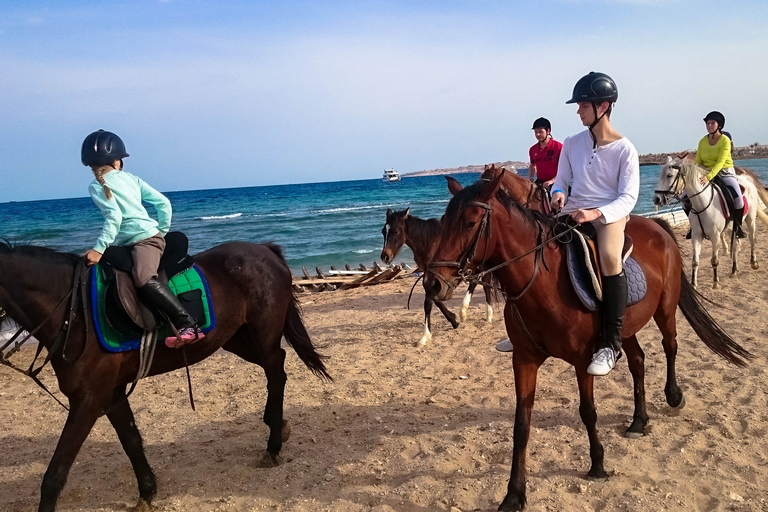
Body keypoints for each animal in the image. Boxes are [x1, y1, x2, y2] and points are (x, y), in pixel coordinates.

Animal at [0, 242, 330, 512]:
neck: (74, 312)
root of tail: (264, 249)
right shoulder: (112, 393)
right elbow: (131, 441)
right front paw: (147, 493)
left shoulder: (89, 400)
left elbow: (55, 474)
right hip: (234, 338)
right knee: (276, 368)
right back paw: (276, 423)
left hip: (263, 334)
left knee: (275, 372)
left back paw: (273, 445)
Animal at [380, 206, 496, 346]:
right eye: (383, 232)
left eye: (396, 231)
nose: (385, 257)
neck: (429, 242)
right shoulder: (431, 276)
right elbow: (433, 299)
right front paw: (454, 320)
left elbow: (429, 301)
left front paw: (426, 335)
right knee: (476, 282)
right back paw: (465, 312)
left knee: (485, 284)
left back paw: (487, 314)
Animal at [424, 170, 748, 510]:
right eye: (443, 223)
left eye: (470, 223)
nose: (433, 284)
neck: (542, 282)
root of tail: (657, 227)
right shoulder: (523, 360)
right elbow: (521, 425)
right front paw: (514, 494)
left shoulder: (582, 360)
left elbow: (588, 411)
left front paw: (598, 465)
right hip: (624, 329)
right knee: (637, 361)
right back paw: (638, 420)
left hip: (665, 310)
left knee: (670, 346)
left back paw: (673, 396)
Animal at [656, 156, 768, 288]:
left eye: (669, 175)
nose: (656, 198)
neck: (701, 203)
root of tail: (746, 180)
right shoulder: (696, 236)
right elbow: (695, 261)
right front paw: (694, 284)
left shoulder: (715, 236)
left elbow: (714, 260)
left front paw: (715, 283)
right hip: (731, 228)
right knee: (735, 246)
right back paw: (734, 271)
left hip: (750, 219)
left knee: (752, 238)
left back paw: (754, 263)